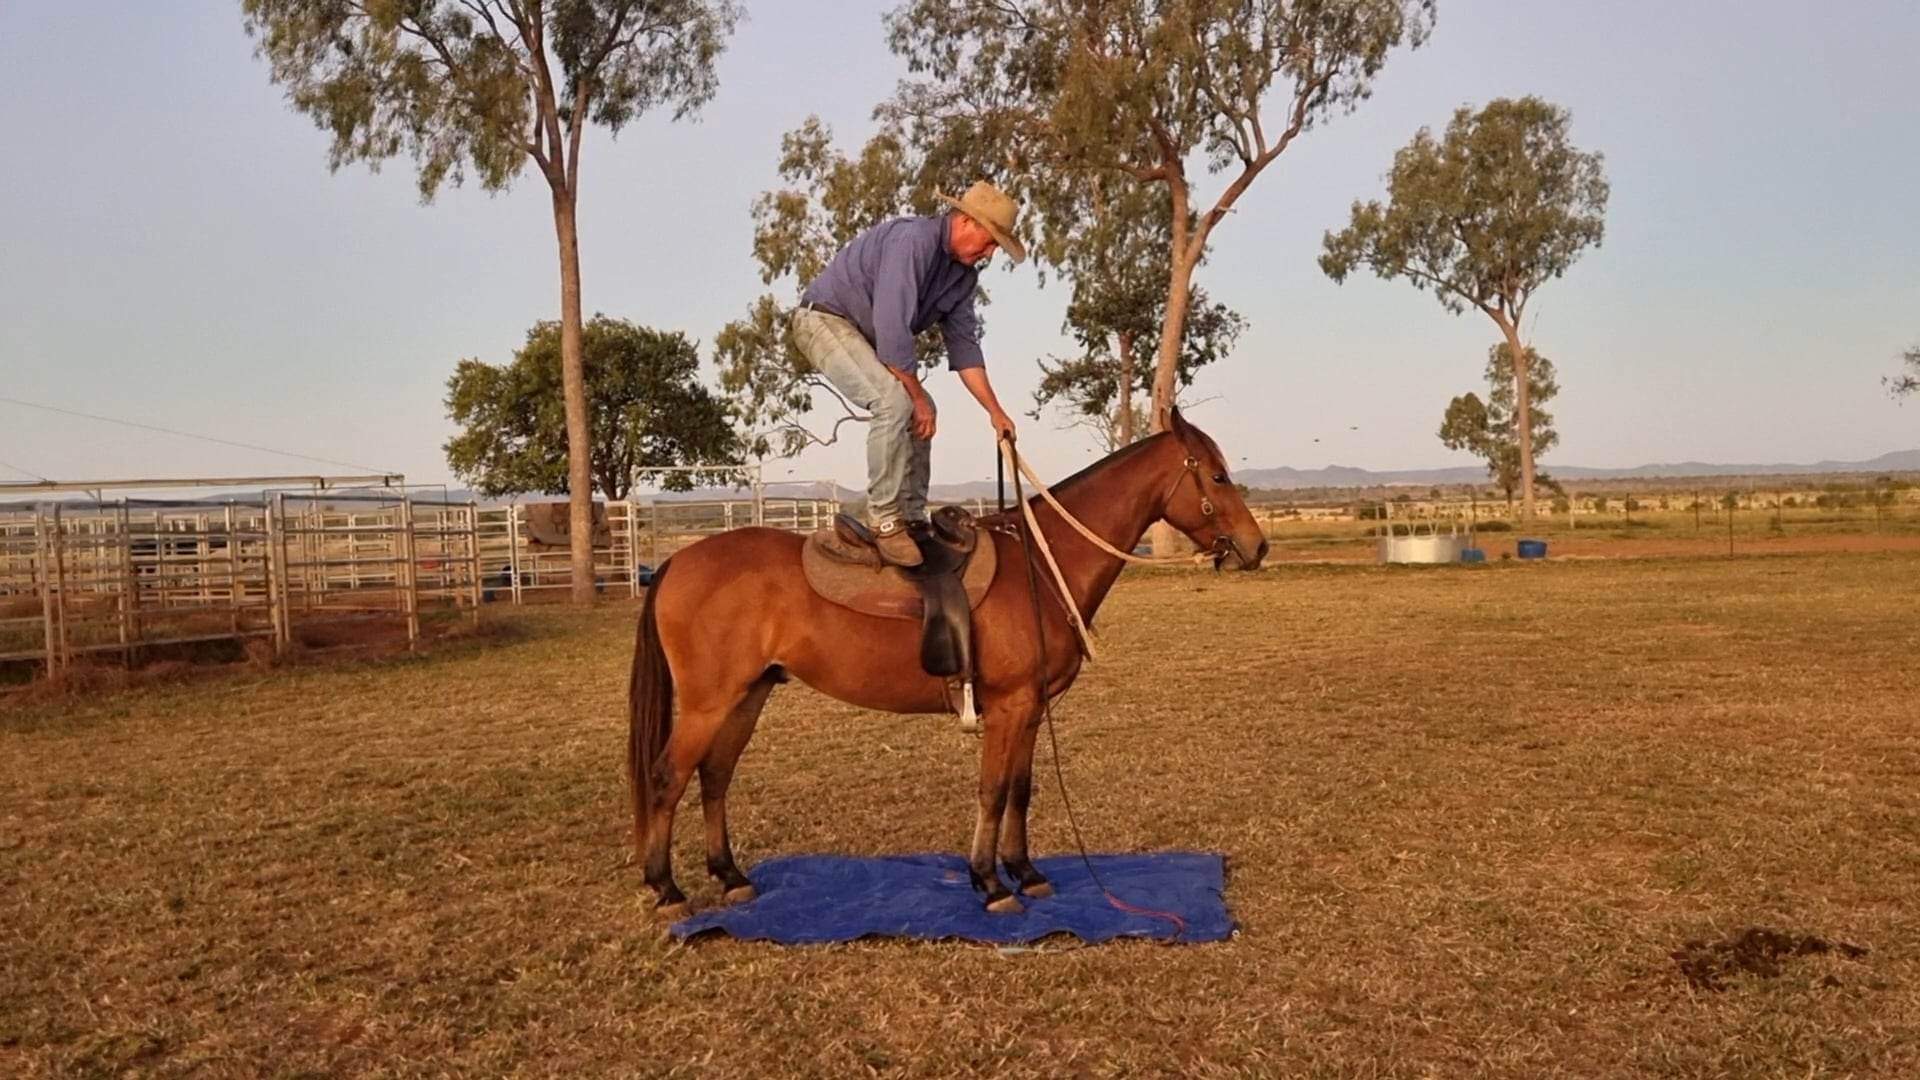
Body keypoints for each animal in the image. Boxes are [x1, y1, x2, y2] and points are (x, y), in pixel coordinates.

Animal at [627, 408, 1269, 918]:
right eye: (1216, 475)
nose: (1256, 546)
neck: (1041, 565)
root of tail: (677, 564)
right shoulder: (1008, 706)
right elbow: (991, 790)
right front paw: (989, 882)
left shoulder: (1029, 709)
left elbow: (1020, 789)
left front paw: (1025, 872)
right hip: (709, 703)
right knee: (667, 778)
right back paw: (667, 889)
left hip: (749, 694)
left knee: (715, 776)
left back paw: (731, 878)